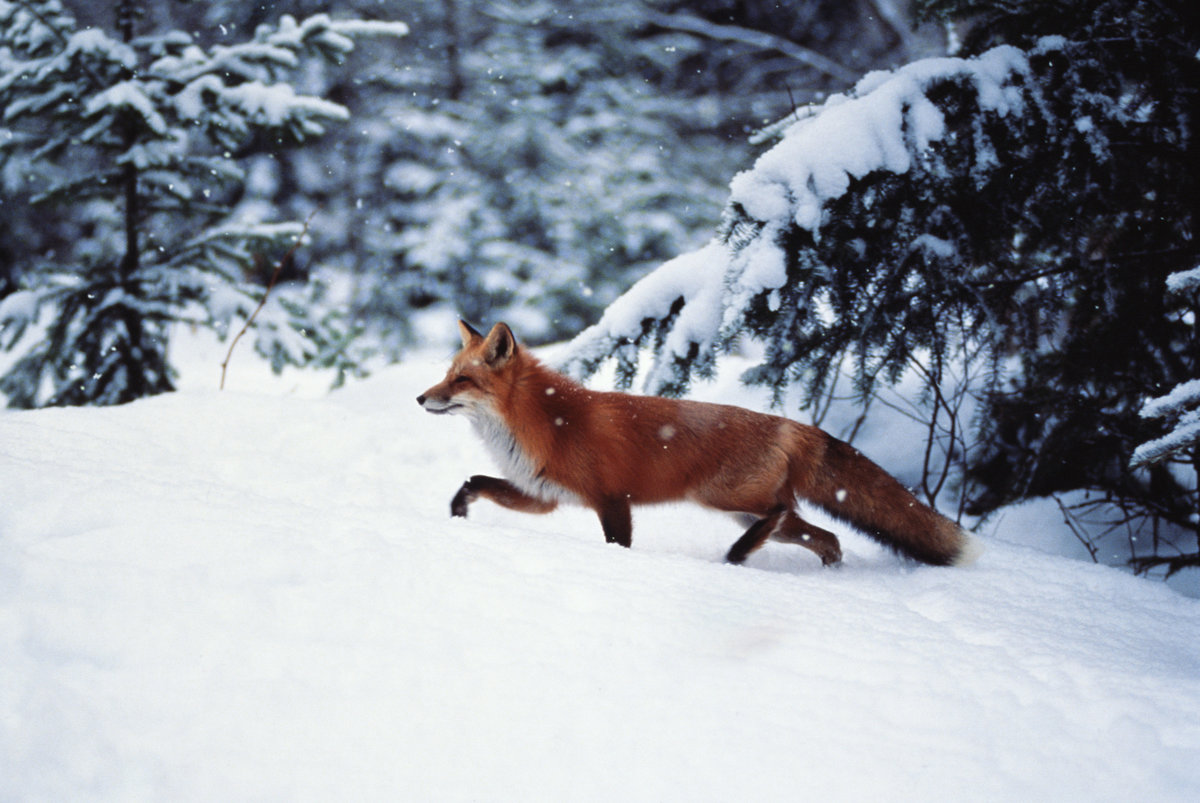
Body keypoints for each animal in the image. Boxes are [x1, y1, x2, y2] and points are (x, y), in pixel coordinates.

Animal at [417, 321, 981, 568]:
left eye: (462, 380)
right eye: (447, 374)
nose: (421, 397)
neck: (548, 420)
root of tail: (791, 424)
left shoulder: (612, 500)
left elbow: (618, 546)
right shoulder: (544, 496)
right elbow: (474, 482)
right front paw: (457, 514)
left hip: (722, 498)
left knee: (781, 513)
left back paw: (737, 556)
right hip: (747, 510)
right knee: (827, 537)